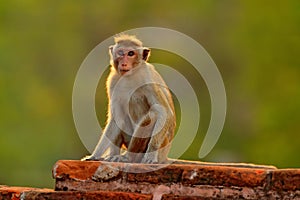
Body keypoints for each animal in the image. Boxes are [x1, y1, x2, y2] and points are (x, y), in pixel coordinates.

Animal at [82, 33, 176, 163]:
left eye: (131, 53)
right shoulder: (112, 81)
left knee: (153, 114)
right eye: (120, 53)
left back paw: (128, 156)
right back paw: (112, 155)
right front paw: (94, 155)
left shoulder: (146, 78)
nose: (124, 63)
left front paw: (151, 155)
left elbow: (165, 112)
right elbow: (116, 119)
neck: (130, 75)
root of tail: (165, 156)